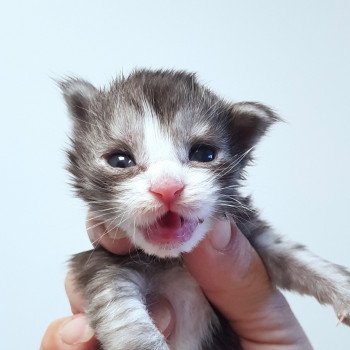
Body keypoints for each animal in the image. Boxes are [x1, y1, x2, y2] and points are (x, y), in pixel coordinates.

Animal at [62, 69, 350, 350]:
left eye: (204, 154)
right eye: (120, 160)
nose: (168, 188)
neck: (174, 260)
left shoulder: (249, 230)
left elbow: (297, 256)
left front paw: (343, 292)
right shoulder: (101, 265)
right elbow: (124, 318)